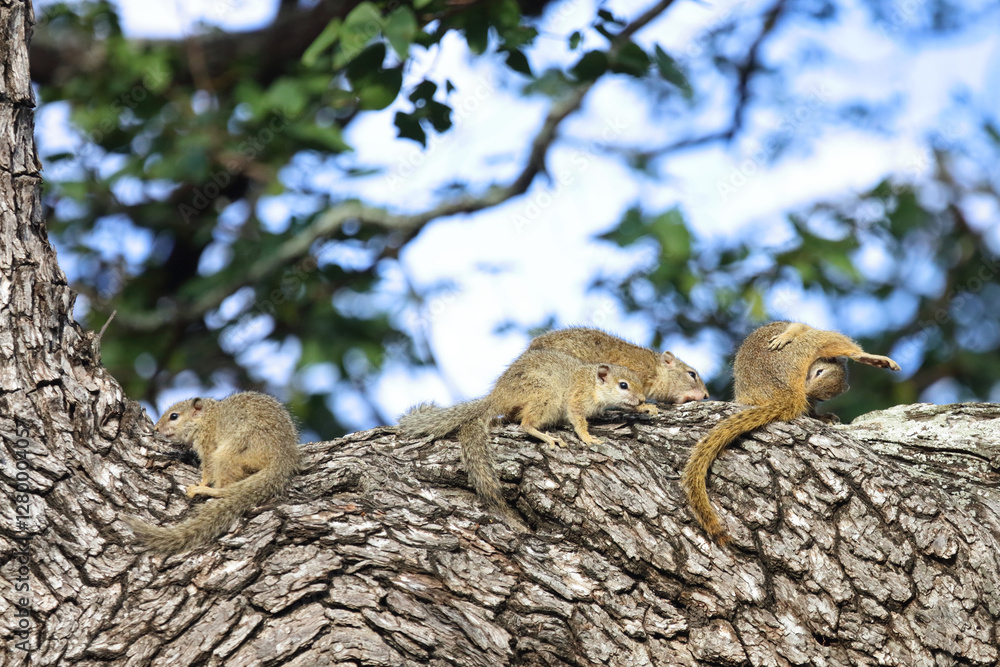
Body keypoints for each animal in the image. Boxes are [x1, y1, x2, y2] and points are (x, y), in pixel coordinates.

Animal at [126, 391, 301, 554]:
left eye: (174, 416)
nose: (156, 428)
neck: (206, 417)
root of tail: (282, 460)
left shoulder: (207, 442)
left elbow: (208, 467)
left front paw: (203, 482)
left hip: (227, 455)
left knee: (224, 488)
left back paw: (205, 490)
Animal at [398, 349, 649, 517]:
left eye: (639, 382)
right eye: (623, 385)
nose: (642, 399)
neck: (592, 384)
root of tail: (498, 397)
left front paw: (645, 408)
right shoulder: (577, 400)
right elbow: (578, 421)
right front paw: (587, 437)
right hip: (544, 394)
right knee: (526, 424)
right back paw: (548, 437)